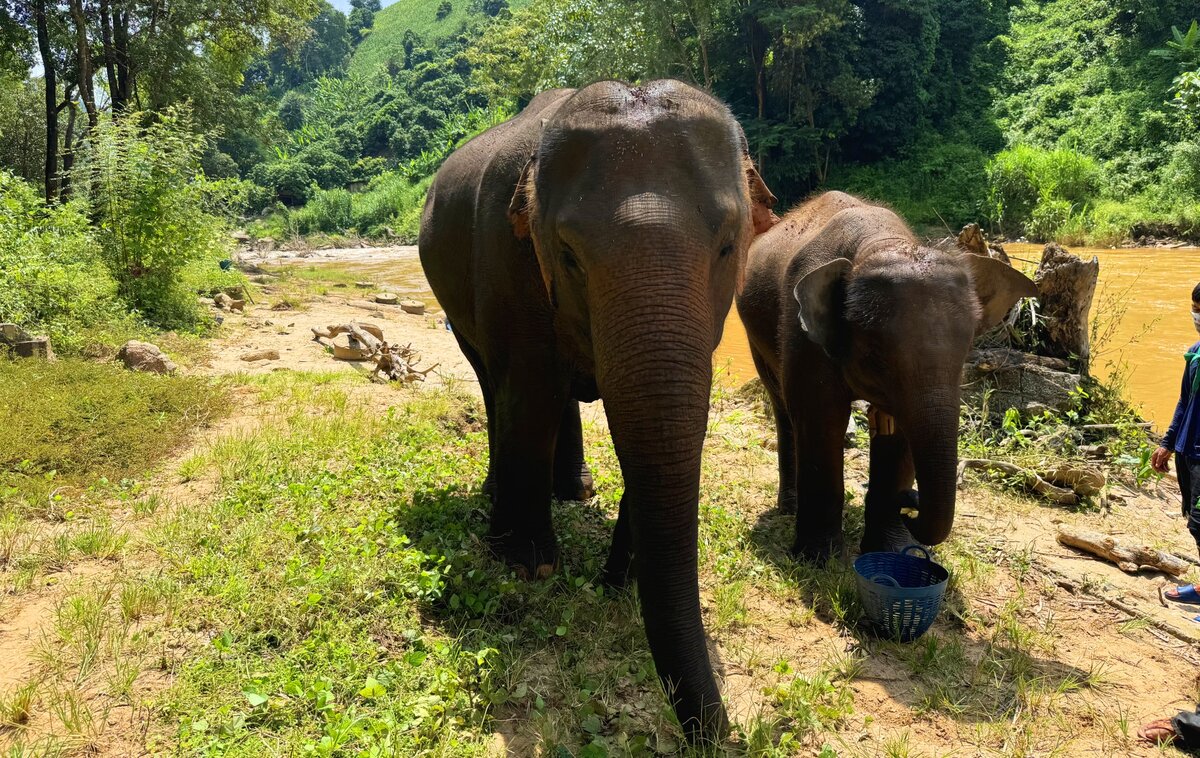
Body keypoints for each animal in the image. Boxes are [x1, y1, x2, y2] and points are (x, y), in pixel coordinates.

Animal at [418, 80, 778, 743]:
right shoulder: (506, 258)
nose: (724, 736)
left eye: (727, 245)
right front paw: (530, 565)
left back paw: (576, 490)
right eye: (568, 254)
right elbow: (530, 388)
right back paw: (503, 502)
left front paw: (621, 571)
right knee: (494, 382)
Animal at [735, 191, 1037, 559]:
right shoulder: (801, 332)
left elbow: (900, 431)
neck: (879, 243)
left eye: (967, 350)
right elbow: (821, 418)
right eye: (877, 354)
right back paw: (789, 509)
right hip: (755, 333)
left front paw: (891, 550)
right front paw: (817, 558)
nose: (909, 505)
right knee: (783, 406)